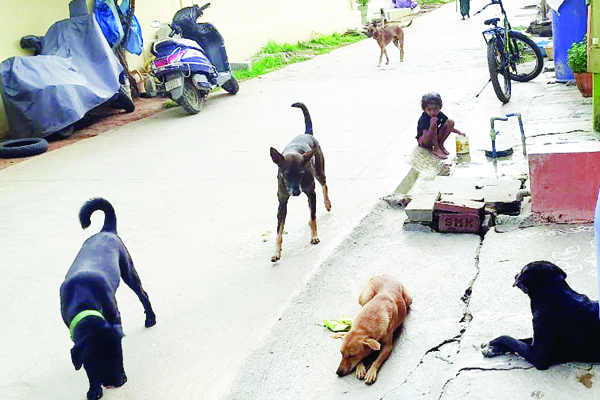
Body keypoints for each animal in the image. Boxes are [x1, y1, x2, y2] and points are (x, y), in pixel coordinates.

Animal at [59, 198, 155, 400]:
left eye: (118, 356)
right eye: (97, 362)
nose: (120, 382)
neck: (84, 298)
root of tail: (106, 232)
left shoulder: (116, 321)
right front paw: (94, 388)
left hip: (128, 271)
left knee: (143, 295)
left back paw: (150, 318)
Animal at [270, 101, 332, 262]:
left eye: (301, 173)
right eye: (286, 175)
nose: (296, 192)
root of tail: (307, 133)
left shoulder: (311, 193)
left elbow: (313, 215)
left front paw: (314, 236)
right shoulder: (282, 202)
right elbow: (279, 230)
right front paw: (276, 252)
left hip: (319, 171)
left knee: (324, 184)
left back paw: (327, 204)